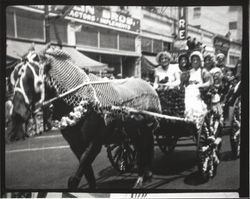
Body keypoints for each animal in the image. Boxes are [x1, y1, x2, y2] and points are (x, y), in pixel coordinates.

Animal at [9, 45, 162, 190]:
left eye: (36, 81)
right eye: (15, 77)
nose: (16, 114)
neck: (79, 98)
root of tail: (148, 85)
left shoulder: (95, 142)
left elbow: (82, 166)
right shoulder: (75, 144)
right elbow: (87, 170)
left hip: (145, 129)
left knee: (144, 147)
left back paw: (143, 176)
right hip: (132, 131)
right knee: (140, 147)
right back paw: (144, 174)